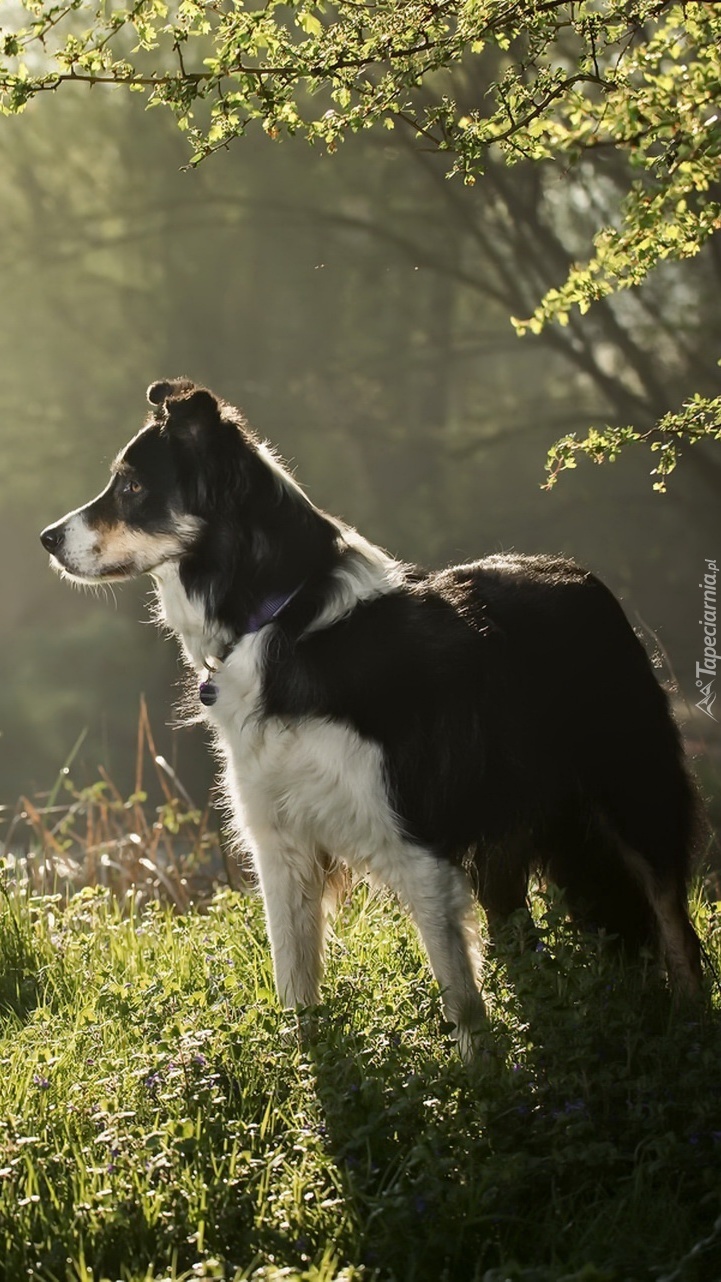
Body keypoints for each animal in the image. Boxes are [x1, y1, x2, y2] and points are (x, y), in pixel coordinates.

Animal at [37, 374, 697, 1056]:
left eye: (132, 488)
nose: (46, 539)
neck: (282, 617)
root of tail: (583, 576)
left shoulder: (417, 844)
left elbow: (461, 1001)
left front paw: (482, 1078)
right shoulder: (281, 845)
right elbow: (295, 985)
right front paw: (310, 1070)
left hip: (636, 795)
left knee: (675, 925)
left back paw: (688, 1025)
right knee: (521, 932)